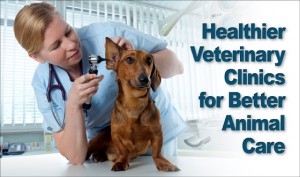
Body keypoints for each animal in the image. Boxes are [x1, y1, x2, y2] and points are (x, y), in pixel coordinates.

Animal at [86, 37, 180, 171]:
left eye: (149, 60)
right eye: (129, 59)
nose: (145, 79)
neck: (134, 102)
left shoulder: (157, 132)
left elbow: (157, 152)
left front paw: (164, 164)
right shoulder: (115, 134)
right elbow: (123, 151)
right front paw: (121, 162)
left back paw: (99, 156)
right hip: (97, 140)